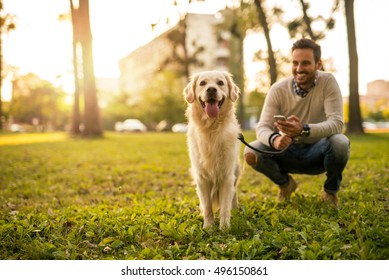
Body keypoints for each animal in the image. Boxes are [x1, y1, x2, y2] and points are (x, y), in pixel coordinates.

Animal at [183, 70, 241, 230]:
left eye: (220, 83)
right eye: (202, 83)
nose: (211, 90)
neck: (211, 129)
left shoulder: (227, 177)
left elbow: (225, 207)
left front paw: (224, 228)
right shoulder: (202, 179)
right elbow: (207, 207)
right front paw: (208, 228)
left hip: (236, 171)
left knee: (234, 194)